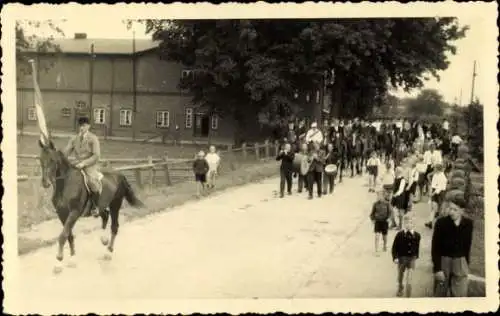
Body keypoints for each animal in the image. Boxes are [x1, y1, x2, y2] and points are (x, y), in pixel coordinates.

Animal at [38, 139, 145, 272]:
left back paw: (108, 252)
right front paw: (71, 257)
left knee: (114, 226)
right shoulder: (62, 214)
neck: (66, 184)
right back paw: (103, 239)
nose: (45, 183)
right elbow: (69, 235)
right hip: (102, 206)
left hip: (115, 205)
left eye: (52, 160)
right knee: (105, 216)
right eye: (40, 159)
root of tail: (119, 174)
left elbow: (63, 235)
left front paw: (60, 260)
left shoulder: (74, 213)